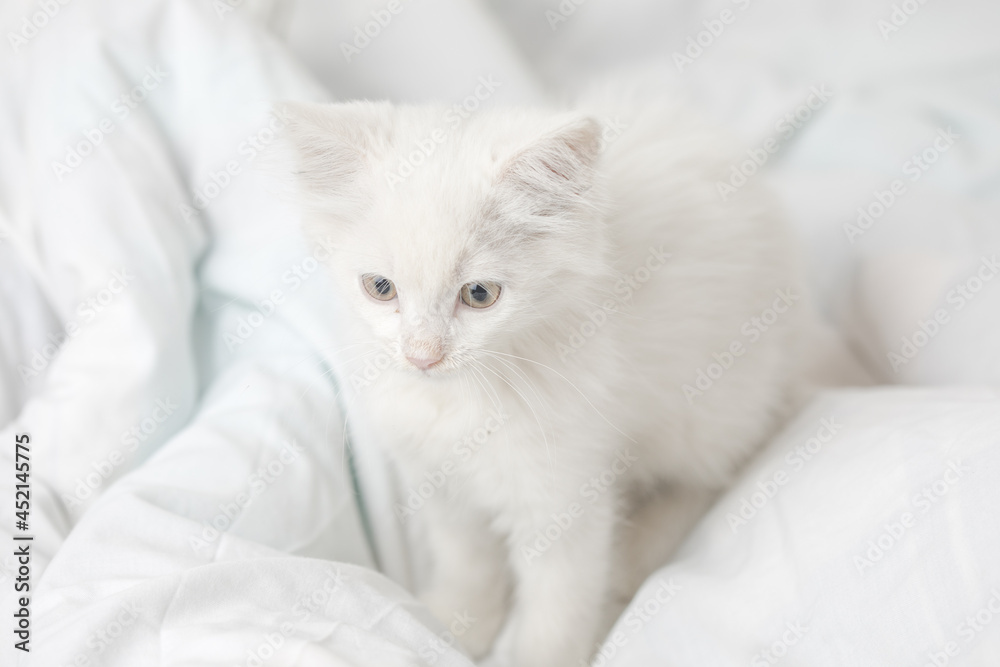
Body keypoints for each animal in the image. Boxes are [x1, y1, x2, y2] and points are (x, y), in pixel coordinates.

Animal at [282, 94, 804, 667]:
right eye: (380, 288)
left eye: (479, 294)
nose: (422, 356)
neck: (460, 402)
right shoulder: (439, 482)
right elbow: (467, 560)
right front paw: (452, 627)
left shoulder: (563, 495)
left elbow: (558, 609)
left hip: (708, 408)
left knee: (711, 478)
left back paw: (636, 551)